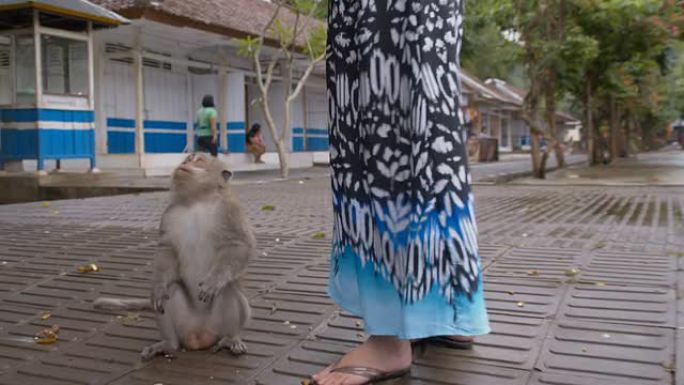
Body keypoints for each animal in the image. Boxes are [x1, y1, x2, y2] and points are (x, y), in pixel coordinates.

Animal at [95, 152, 255, 358]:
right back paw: (168, 344)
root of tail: (200, 337)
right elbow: (167, 248)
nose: (184, 163)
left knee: (227, 289)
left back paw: (231, 338)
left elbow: (240, 245)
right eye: (187, 158)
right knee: (171, 292)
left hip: (217, 325)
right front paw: (158, 286)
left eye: (199, 160)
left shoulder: (229, 210)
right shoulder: (169, 214)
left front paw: (214, 281)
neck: (198, 201)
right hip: (185, 325)